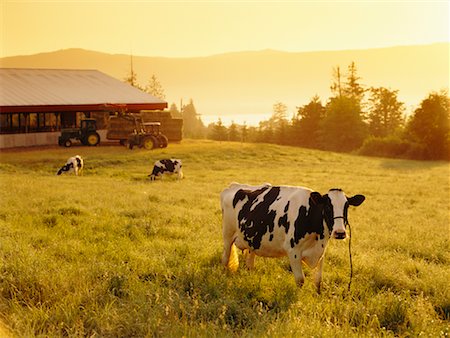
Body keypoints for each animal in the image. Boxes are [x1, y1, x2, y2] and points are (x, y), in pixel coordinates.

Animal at [221, 184, 366, 292]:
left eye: (346, 206)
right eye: (327, 207)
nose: (340, 232)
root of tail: (233, 186)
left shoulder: (320, 252)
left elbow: (319, 280)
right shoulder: (293, 251)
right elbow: (300, 280)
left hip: (252, 241)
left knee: (249, 263)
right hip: (227, 235)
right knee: (225, 258)